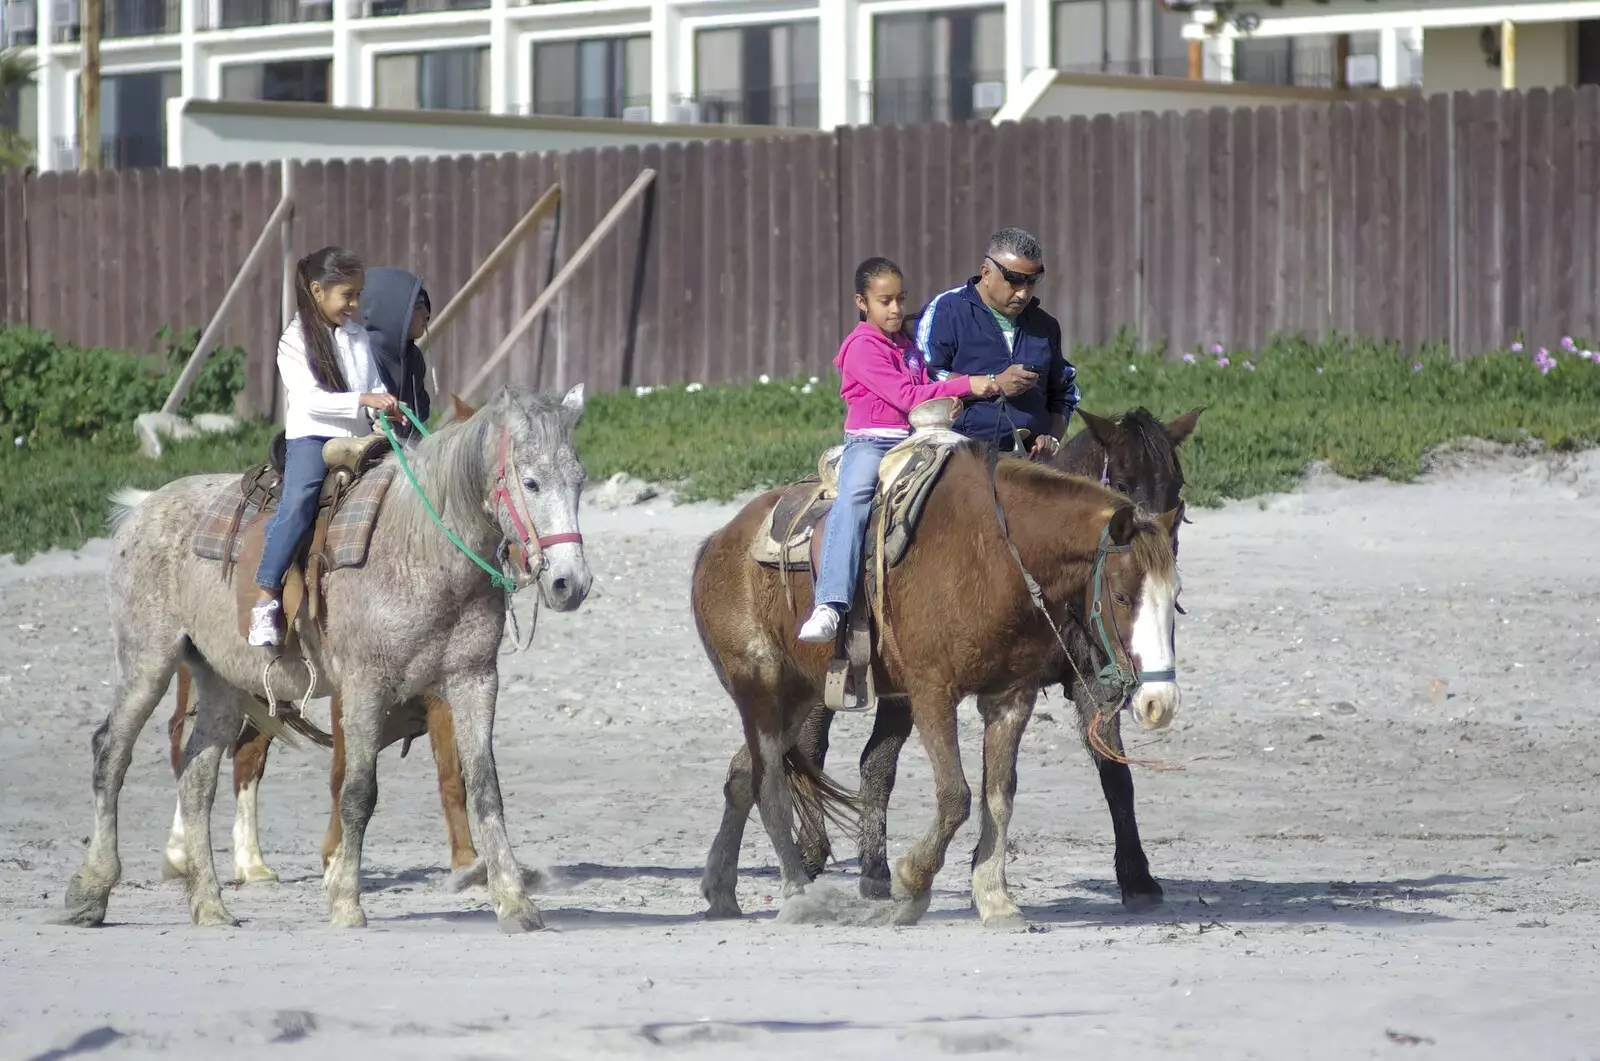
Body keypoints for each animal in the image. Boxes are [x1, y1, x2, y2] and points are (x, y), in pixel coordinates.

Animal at [56, 385, 598, 934]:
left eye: (578, 481)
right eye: (530, 482)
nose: (569, 583)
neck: (420, 550)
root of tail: (144, 506)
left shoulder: (474, 681)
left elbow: (485, 789)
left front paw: (515, 903)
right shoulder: (365, 688)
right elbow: (358, 792)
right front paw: (345, 900)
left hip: (221, 683)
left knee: (196, 778)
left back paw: (209, 905)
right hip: (147, 662)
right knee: (111, 753)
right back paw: (91, 892)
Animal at [694, 441, 1184, 928]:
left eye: (1175, 597)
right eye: (1121, 596)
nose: (1160, 702)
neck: (995, 554)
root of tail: (717, 541)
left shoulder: (1011, 697)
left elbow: (998, 796)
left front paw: (994, 897)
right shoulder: (931, 693)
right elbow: (956, 796)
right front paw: (911, 886)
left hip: (795, 696)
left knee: (742, 775)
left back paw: (721, 888)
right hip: (759, 686)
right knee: (769, 784)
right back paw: (797, 892)